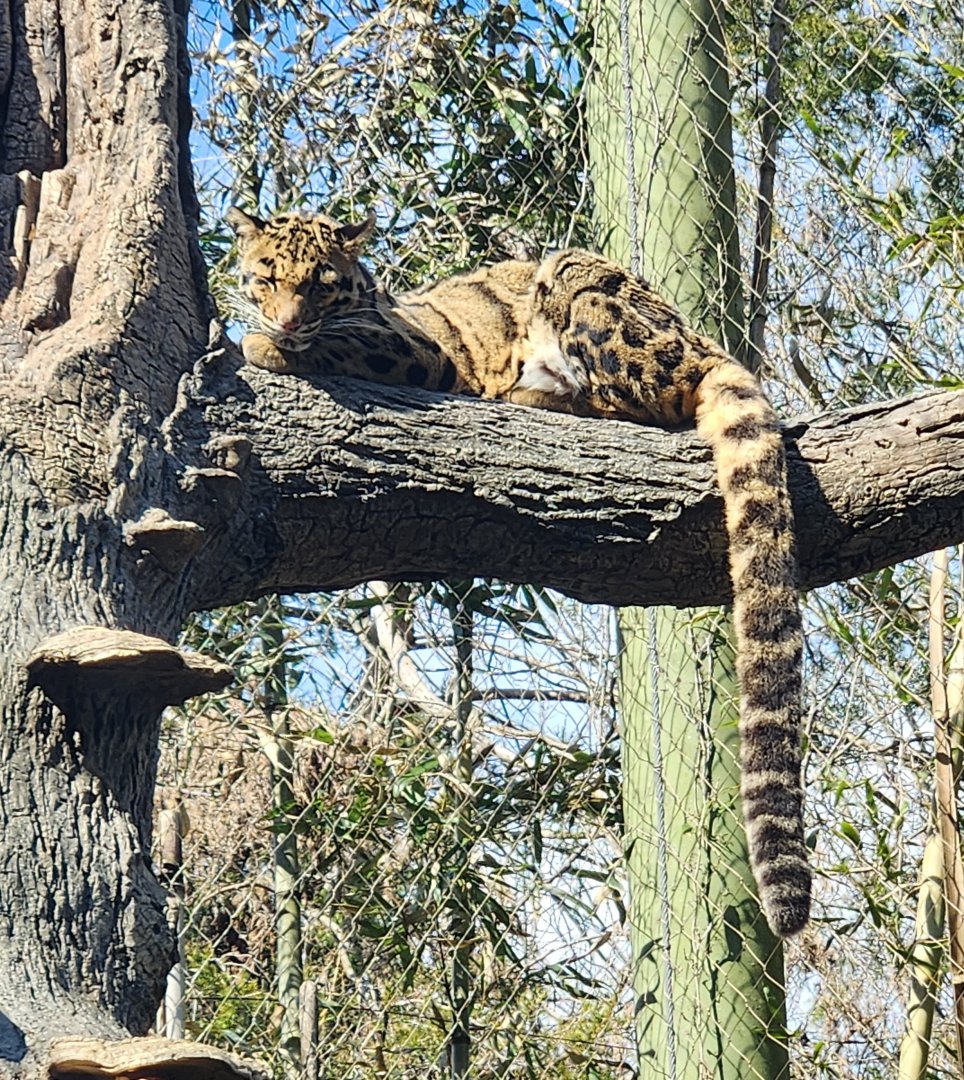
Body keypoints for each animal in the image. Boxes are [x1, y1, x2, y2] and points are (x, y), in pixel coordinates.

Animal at [227, 206, 809, 938]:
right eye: (266, 277)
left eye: (319, 285)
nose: (284, 321)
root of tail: (702, 341)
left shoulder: (417, 350)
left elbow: (341, 346)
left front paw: (261, 347)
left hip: (581, 285)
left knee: (640, 404)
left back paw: (531, 394)